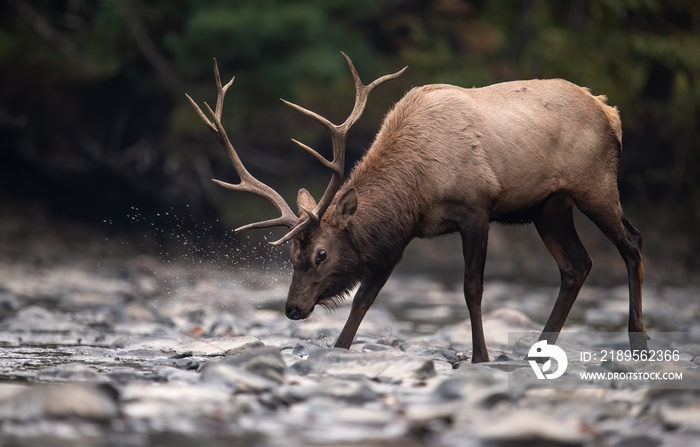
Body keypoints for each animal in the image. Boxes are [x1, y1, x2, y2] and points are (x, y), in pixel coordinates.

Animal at [187, 53, 652, 364]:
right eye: (290, 254)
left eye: (321, 253)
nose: (292, 308)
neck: (417, 185)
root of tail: (612, 114)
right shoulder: (400, 236)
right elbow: (365, 299)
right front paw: (339, 348)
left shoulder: (476, 208)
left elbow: (471, 288)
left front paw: (480, 357)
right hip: (548, 207)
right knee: (577, 264)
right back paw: (543, 348)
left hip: (595, 185)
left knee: (632, 241)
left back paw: (639, 339)